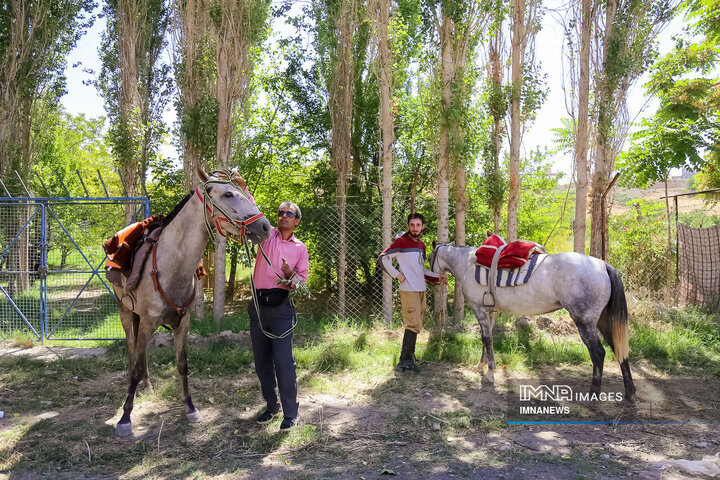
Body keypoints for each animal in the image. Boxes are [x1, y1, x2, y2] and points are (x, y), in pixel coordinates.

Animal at [428, 242, 636, 404]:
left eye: (429, 257)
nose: (431, 281)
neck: (468, 263)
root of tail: (603, 265)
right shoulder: (490, 311)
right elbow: (486, 340)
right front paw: (481, 366)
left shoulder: (479, 309)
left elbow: (486, 339)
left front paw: (489, 373)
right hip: (602, 321)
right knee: (619, 349)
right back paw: (630, 392)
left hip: (585, 323)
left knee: (598, 354)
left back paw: (594, 393)